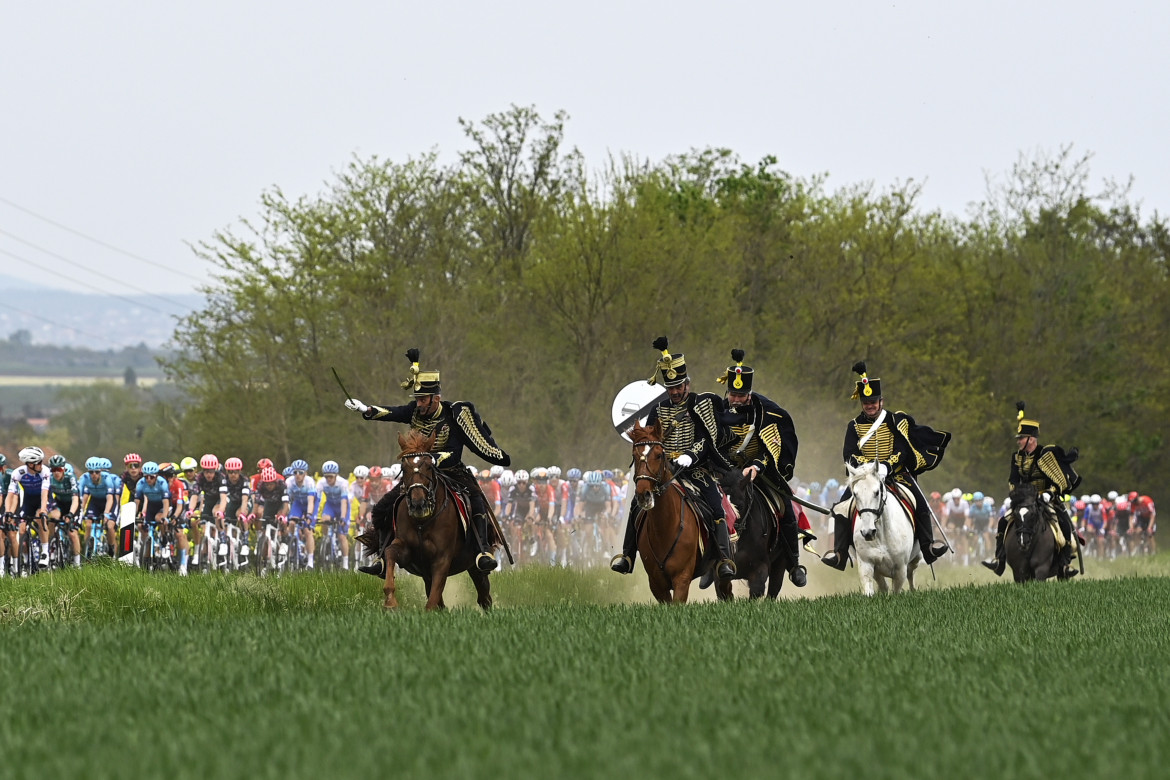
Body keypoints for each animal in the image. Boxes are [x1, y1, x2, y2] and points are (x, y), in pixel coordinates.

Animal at [381, 430, 491, 612]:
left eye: (429, 466)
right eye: (404, 468)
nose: (418, 503)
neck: (422, 522)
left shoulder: (442, 559)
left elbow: (432, 600)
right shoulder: (409, 552)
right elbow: (390, 552)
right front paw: (390, 601)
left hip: (475, 566)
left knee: (484, 595)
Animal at [636, 420, 716, 603]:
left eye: (659, 455)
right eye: (634, 456)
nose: (643, 495)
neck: (664, 528)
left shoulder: (682, 578)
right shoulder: (656, 584)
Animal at [842, 460, 921, 594]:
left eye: (877, 492)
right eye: (855, 494)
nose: (868, 532)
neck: (881, 536)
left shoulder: (900, 570)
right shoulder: (866, 565)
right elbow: (870, 589)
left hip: (916, 558)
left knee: (911, 573)